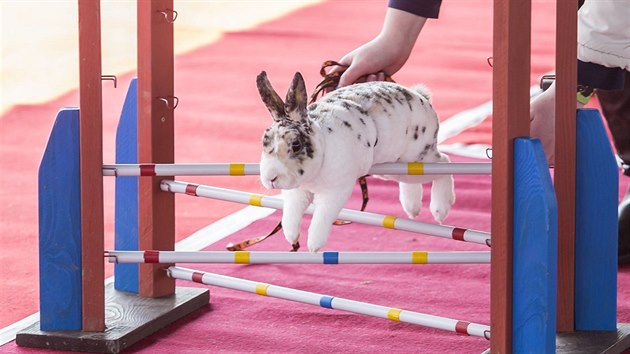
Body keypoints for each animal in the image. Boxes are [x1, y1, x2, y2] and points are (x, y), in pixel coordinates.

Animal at [258, 70, 460, 252]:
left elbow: (322, 216)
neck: (324, 143)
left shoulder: (336, 191)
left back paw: (440, 209)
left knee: (445, 163)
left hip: (418, 159)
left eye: (296, 145)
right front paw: (291, 237)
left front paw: (314, 245)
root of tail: (421, 97)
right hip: (395, 169)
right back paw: (412, 208)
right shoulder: (296, 193)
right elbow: (290, 215)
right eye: (264, 141)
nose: (270, 178)